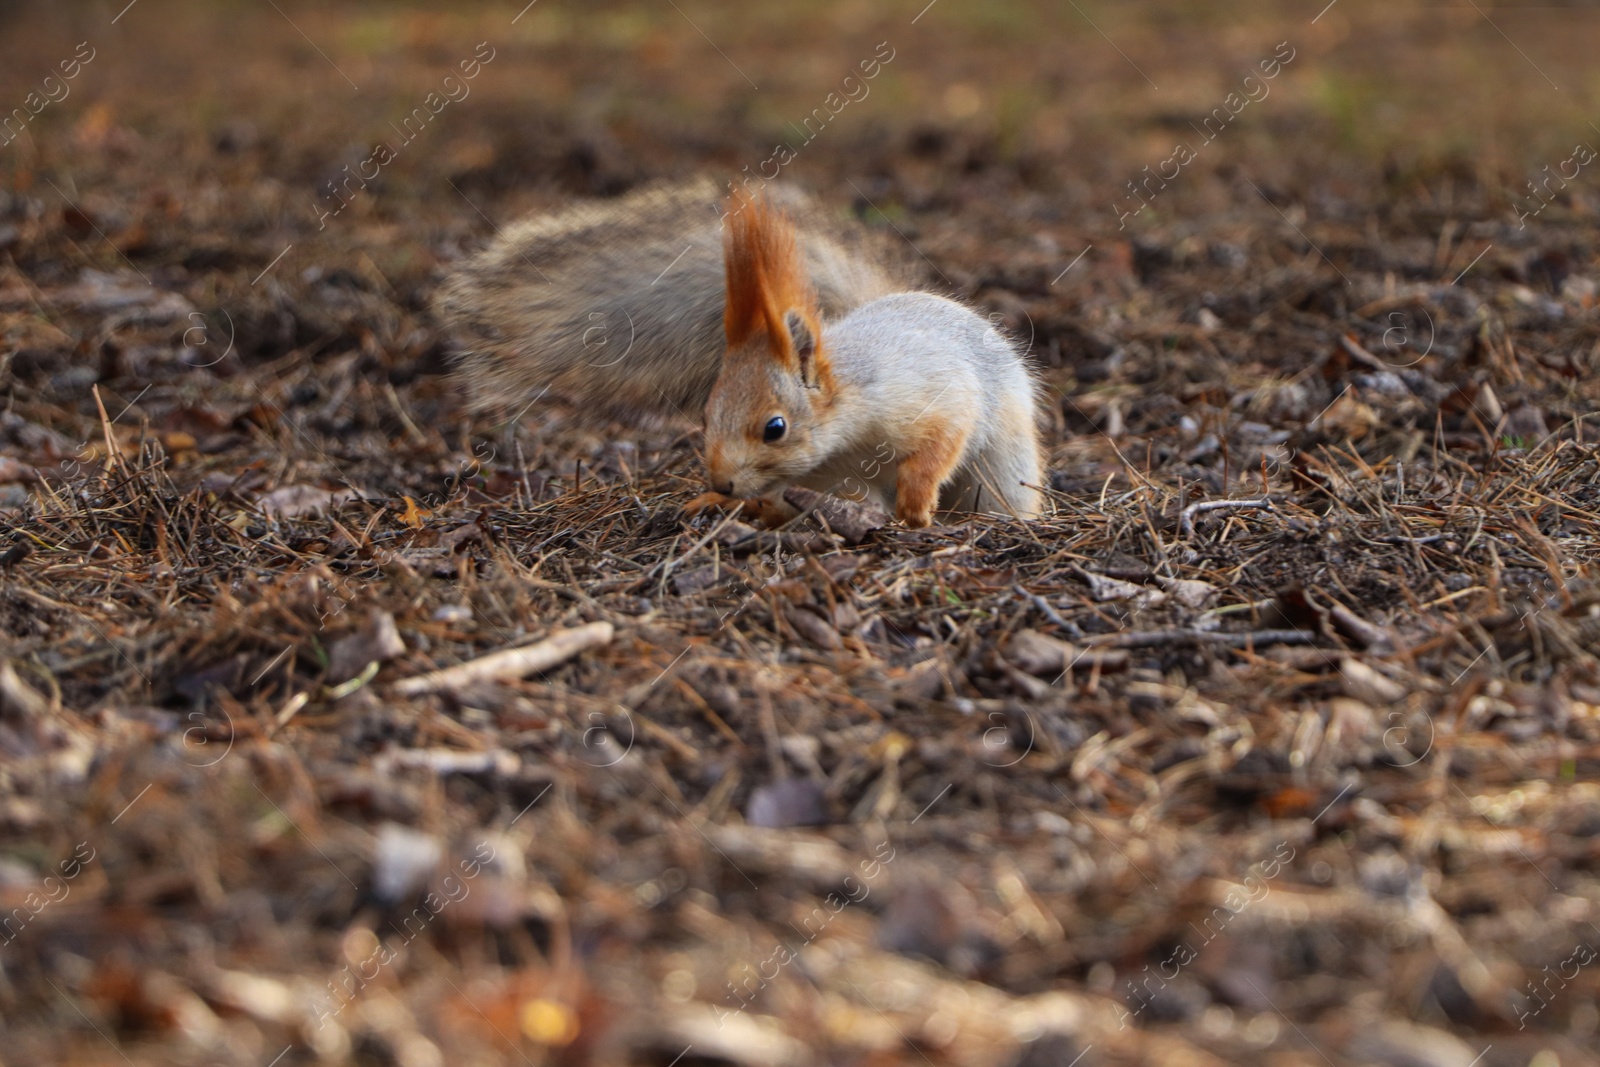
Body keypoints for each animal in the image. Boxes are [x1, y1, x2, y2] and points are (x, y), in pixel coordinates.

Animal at [438, 181, 1043, 527]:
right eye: (707, 415)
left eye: (775, 428)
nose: (721, 482)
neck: (847, 427)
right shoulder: (826, 479)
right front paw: (727, 504)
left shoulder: (930, 390)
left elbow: (943, 440)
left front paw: (916, 503)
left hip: (1002, 467)